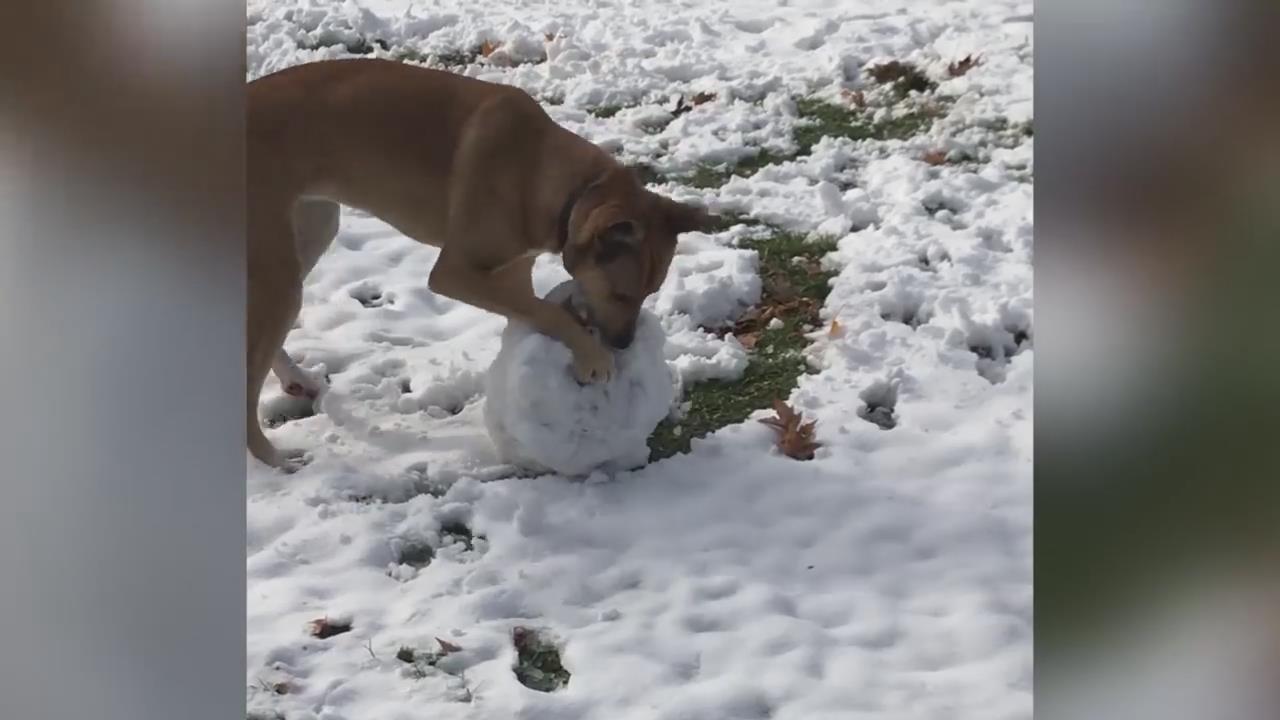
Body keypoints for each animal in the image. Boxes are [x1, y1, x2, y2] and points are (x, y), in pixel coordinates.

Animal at [244, 58, 716, 468]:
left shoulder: (514, 272)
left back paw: (295, 380)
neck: (552, 179)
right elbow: (548, 312)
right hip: (278, 272)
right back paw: (274, 458)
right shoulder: (454, 273)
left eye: (650, 293)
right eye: (621, 293)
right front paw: (590, 355)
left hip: (313, 229)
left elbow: (534, 310)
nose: (622, 344)